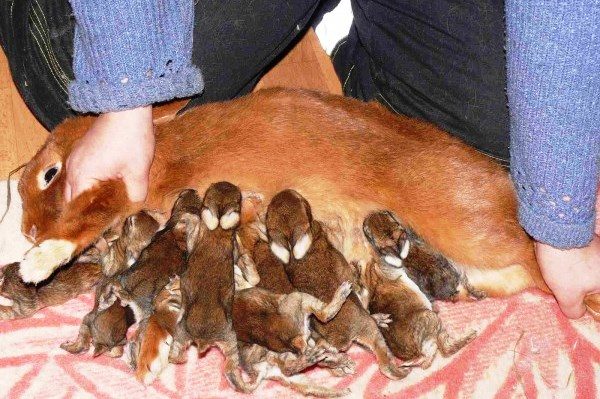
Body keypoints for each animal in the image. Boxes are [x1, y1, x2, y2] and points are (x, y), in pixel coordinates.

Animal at [17, 88, 592, 316]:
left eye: (50, 173)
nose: (24, 229)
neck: (162, 151)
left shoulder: (116, 194)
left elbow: (83, 221)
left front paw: (34, 262)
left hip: (475, 231)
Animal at [169, 184, 258, 394]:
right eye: (239, 198)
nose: (226, 182)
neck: (217, 229)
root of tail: (203, 340)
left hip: (183, 332)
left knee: (174, 356)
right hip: (228, 339)